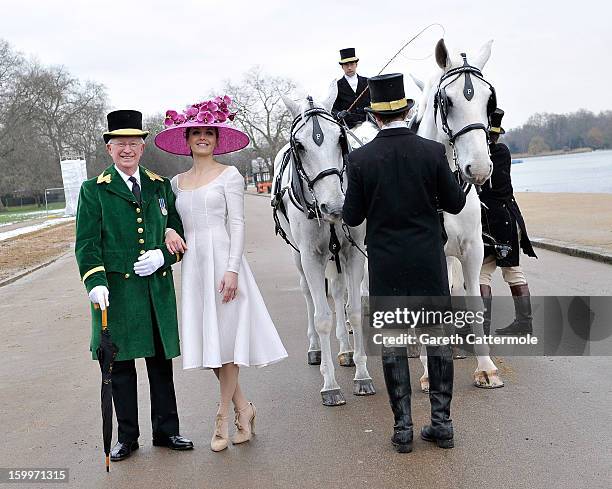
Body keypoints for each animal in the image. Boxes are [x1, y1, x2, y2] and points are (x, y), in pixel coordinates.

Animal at [272, 89, 376, 406]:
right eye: (299, 145)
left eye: (340, 139)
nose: (336, 207)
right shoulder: (311, 256)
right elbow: (322, 318)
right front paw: (330, 385)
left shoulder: (352, 252)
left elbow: (353, 310)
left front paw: (362, 375)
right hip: (299, 257)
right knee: (308, 295)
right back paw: (316, 349)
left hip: (337, 253)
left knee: (340, 292)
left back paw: (345, 350)